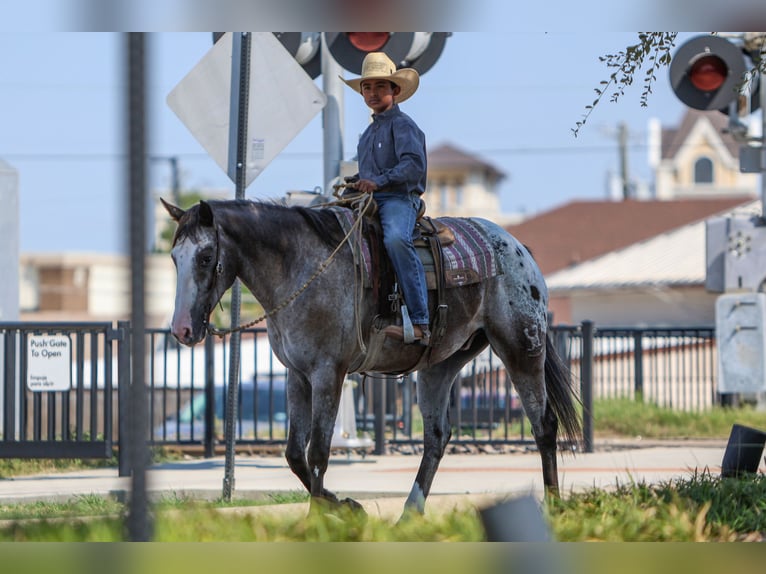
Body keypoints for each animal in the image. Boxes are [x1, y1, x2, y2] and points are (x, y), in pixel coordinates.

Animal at [162, 198, 584, 516]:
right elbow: (295, 454)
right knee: (436, 436)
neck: (300, 266)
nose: (182, 330)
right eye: (173, 257)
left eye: (205, 257)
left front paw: (322, 517)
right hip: (441, 365)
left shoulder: (327, 373)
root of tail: (518, 249)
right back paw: (409, 515)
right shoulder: (297, 375)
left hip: (521, 347)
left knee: (544, 424)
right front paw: (348, 506)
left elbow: (318, 451)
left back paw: (554, 507)